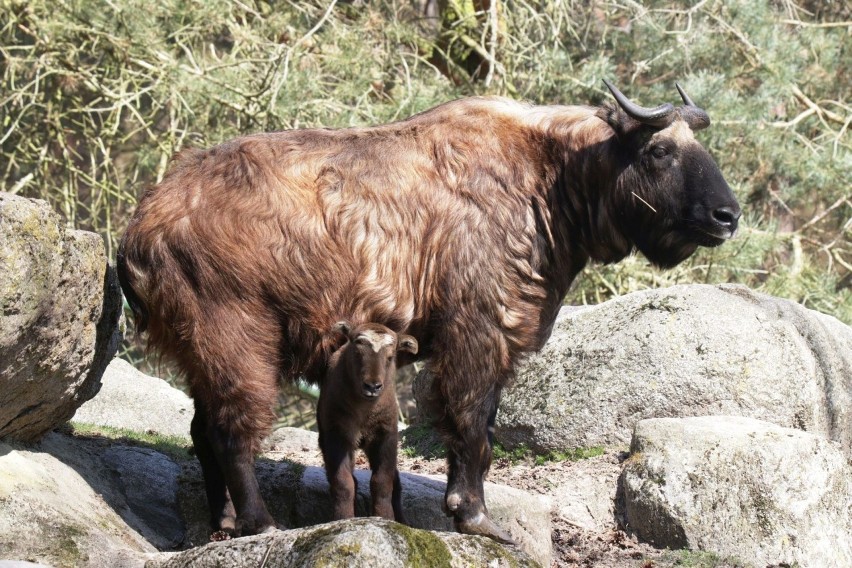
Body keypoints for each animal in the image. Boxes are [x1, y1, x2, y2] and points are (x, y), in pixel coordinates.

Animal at [318, 322, 418, 520]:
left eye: (390, 357)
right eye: (357, 353)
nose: (372, 386)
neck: (364, 410)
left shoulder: (386, 436)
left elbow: (382, 482)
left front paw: (385, 517)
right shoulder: (337, 435)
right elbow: (343, 483)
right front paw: (343, 518)